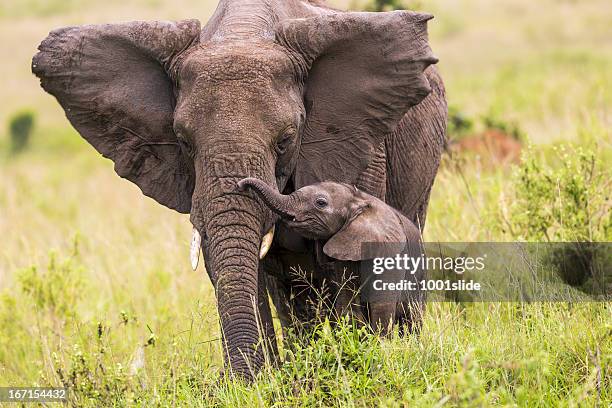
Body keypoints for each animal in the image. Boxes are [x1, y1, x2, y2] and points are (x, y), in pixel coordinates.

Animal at [239, 178, 426, 334]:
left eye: (321, 203)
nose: (241, 185)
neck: (359, 200)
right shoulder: (346, 252)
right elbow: (348, 304)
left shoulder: (390, 253)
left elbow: (382, 307)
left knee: (413, 318)